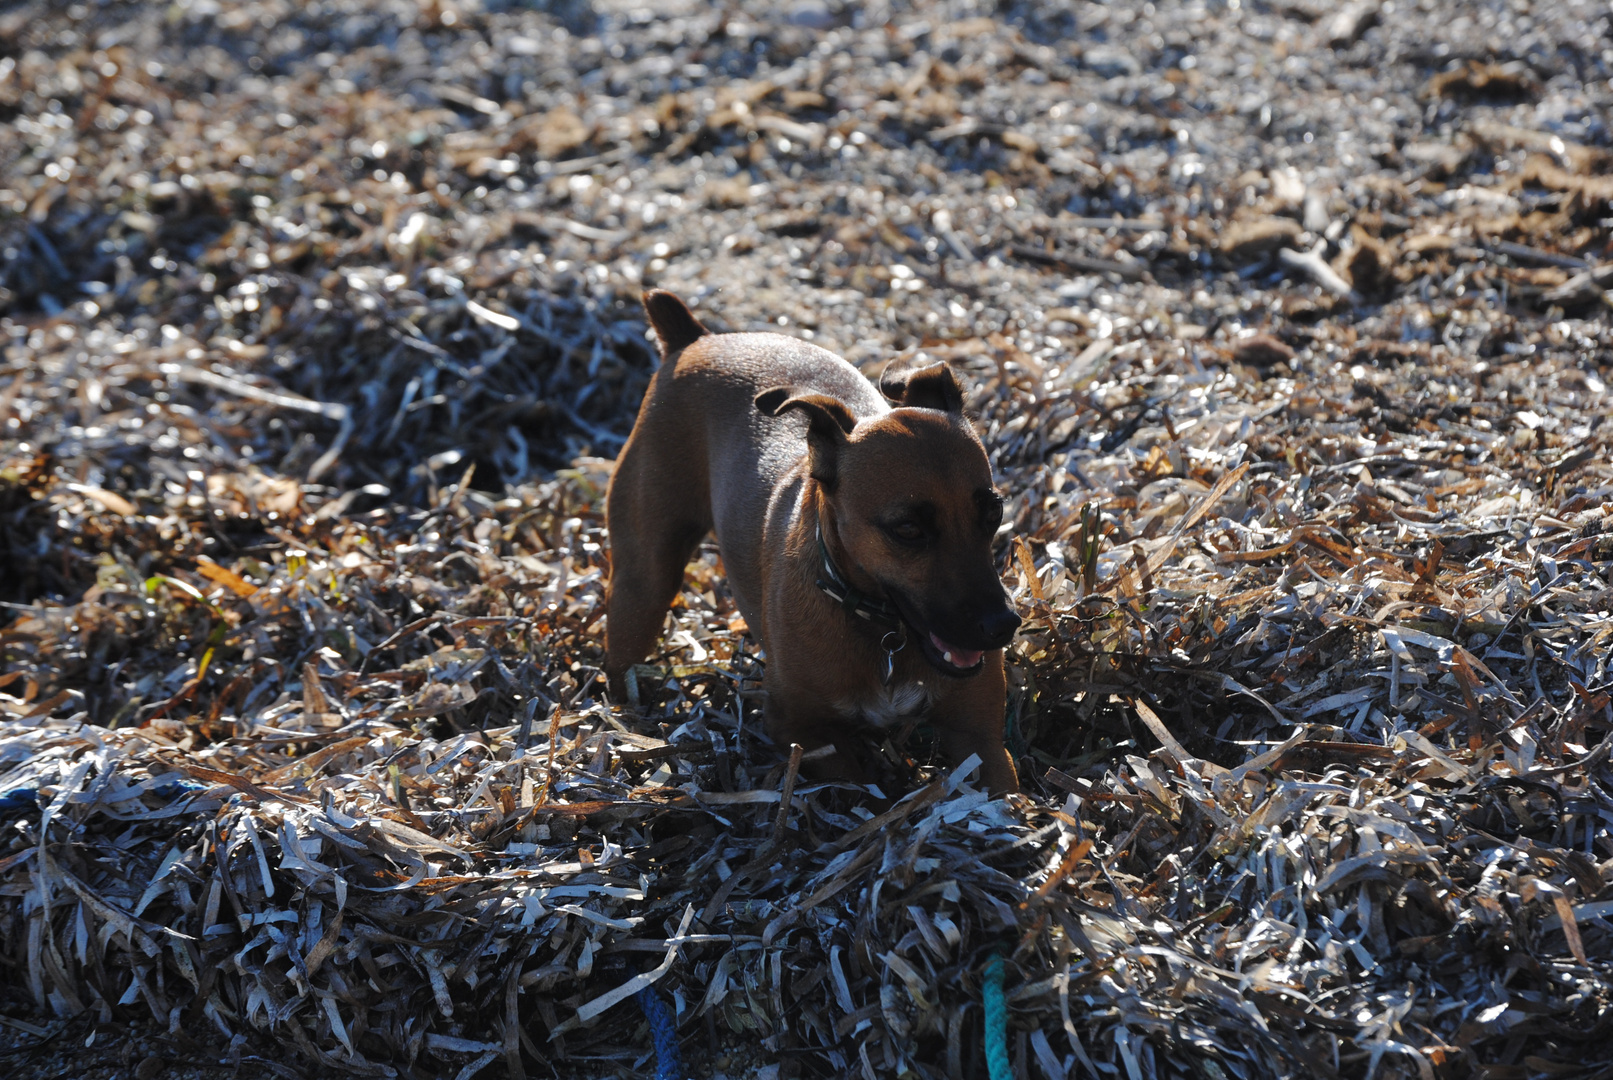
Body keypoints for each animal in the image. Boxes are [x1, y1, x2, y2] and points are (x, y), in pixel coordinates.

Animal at [600, 290, 1025, 796]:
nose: (1003, 625)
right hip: (645, 583)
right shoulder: (802, 733)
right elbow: (855, 784)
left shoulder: (981, 741)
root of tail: (694, 339)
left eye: (994, 513)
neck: (882, 630)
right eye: (907, 530)